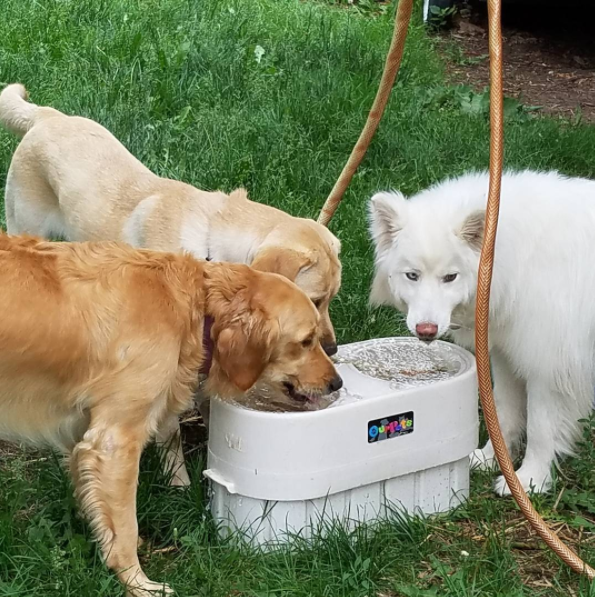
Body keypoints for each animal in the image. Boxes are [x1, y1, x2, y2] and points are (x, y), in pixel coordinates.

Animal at [0, 80, 342, 484]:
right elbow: (170, 432)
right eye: (315, 300)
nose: (333, 348)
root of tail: (48, 116)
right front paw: (179, 483)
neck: (211, 248)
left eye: (330, 299)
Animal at [368, 171, 595, 494]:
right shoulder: (505, 356)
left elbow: (540, 428)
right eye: (412, 275)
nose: (426, 330)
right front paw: (491, 459)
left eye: (450, 277)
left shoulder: (548, 366)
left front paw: (528, 481)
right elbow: (503, 412)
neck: (514, 261)